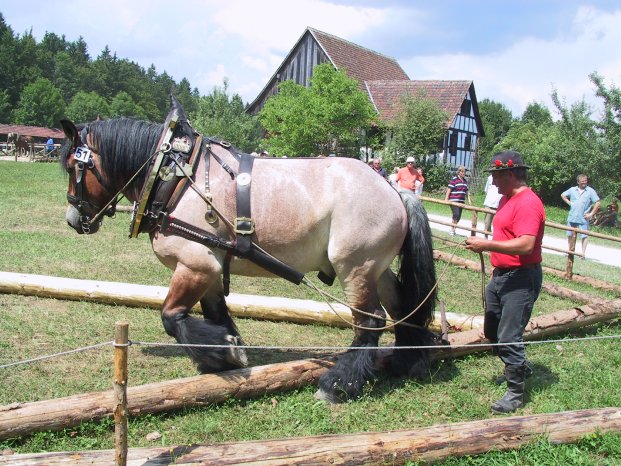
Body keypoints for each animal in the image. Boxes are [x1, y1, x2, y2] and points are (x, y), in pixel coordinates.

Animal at [59, 96, 436, 402]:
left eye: (73, 166)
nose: (73, 218)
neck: (176, 177)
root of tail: (393, 190)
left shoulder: (195, 264)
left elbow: (171, 316)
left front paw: (222, 352)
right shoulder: (211, 265)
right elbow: (216, 313)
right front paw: (226, 353)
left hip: (354, 267)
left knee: (370, 320)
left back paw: (339, 383)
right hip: (376, 268)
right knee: (402, 305)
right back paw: (408, 359)